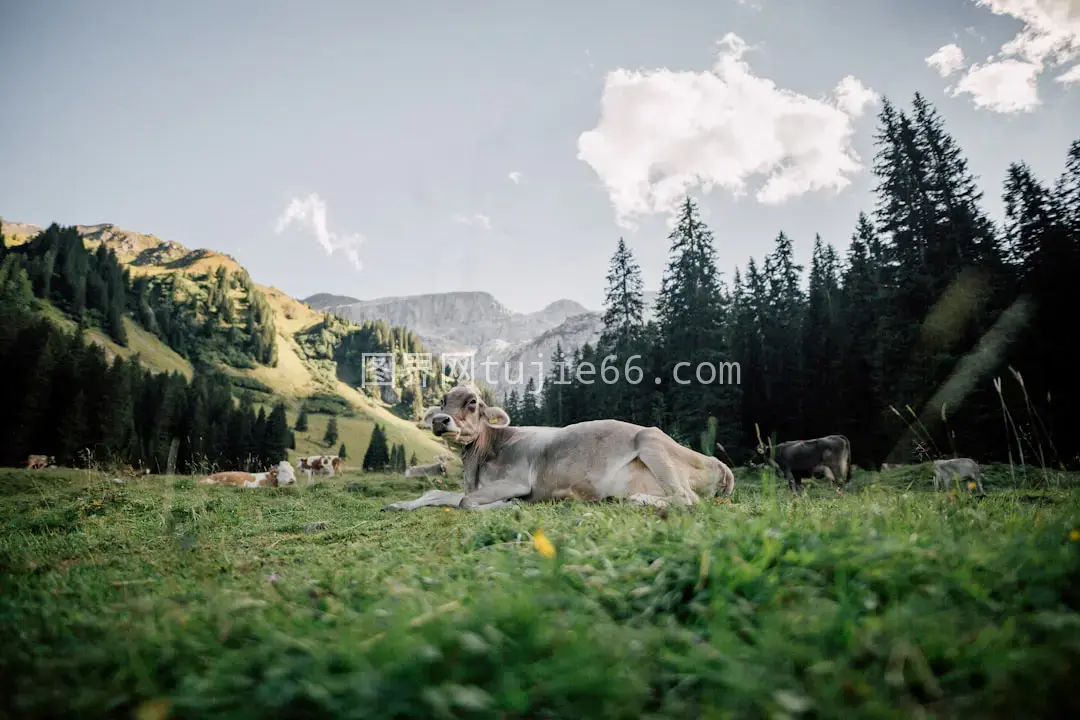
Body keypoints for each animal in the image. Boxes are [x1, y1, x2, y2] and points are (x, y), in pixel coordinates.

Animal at [380, 382, 734, 511]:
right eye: (442, 401)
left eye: (472, 402)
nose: (441, 421)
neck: (476, 465)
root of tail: (718, 463)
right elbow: (439, 494)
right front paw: (399, 504)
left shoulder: (515, 481)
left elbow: (466, 503)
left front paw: (508, 505)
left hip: (651, 441)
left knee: (686, 498)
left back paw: (634, 499)